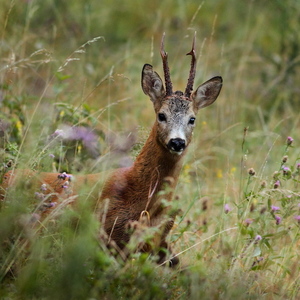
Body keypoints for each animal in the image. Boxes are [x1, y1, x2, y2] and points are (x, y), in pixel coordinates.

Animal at [0, 34, 223, 266]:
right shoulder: (108, 236)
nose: (177, 142)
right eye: (161, 115)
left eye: (192, 119)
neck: (144, 201)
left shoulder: (158, 242)